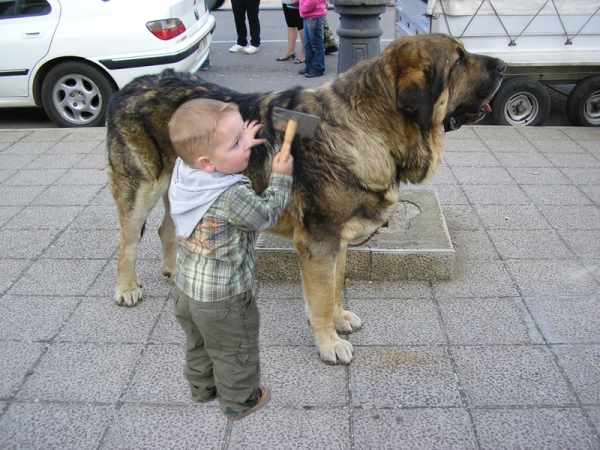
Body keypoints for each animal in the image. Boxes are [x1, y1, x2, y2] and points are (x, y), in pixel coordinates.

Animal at [108, 36, 506, 366]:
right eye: (459, 61)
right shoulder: (318, 242)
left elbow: (336, 285)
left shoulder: (337, 239)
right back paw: (127, 288)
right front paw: (328, 343)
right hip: (142, 187)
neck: (367, 127)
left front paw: (339, 319)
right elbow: (321, 296)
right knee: (128, 242)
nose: (504, 65)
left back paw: (174, 270)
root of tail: (131, 85)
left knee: (166, 228)